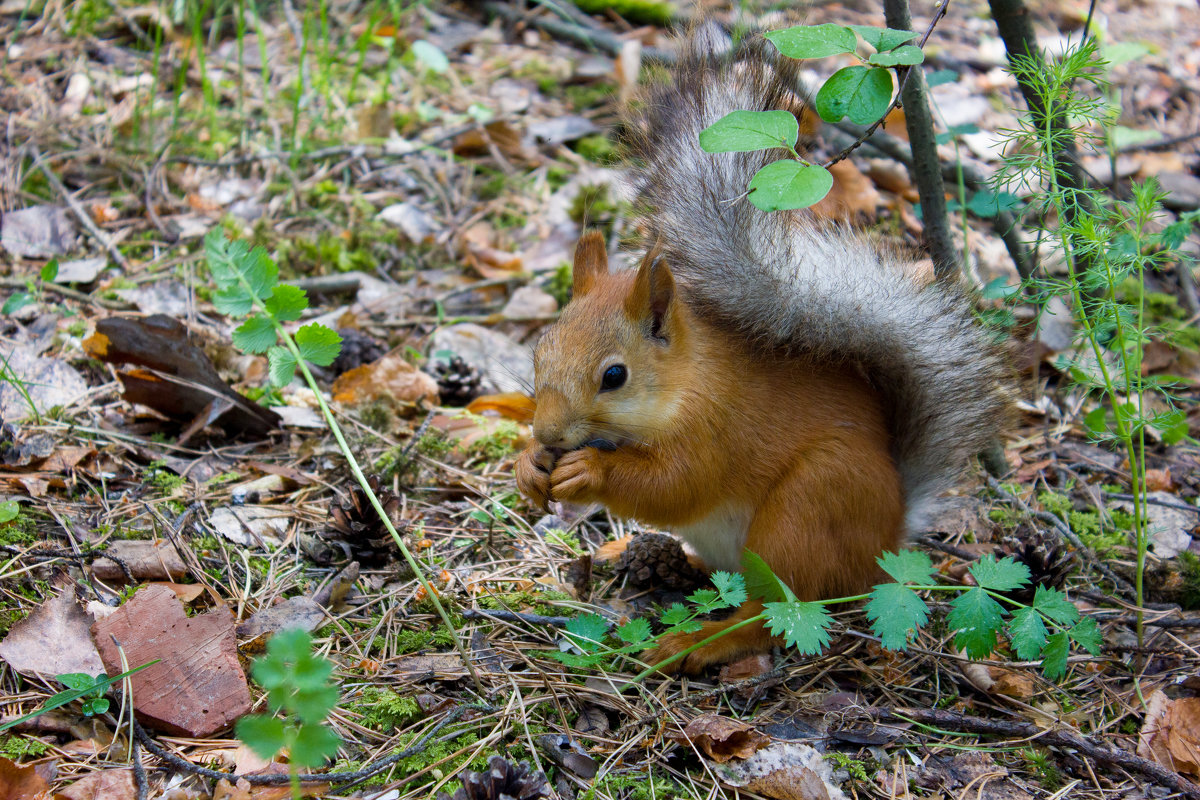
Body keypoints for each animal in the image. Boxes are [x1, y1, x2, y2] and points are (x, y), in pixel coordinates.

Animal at [511, 25, 1008, 671]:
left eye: (614, 376)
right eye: (539, 352)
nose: (547, 434)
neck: (685, 380)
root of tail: (886, 539)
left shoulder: (716, 426)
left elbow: (675, 485)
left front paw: (589, 469)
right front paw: (528, 467)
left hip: (806, 510)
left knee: (775, 614)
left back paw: (695, 643)